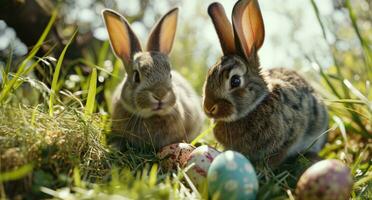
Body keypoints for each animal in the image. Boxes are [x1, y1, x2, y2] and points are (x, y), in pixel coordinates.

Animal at [203, 0, 328, 167]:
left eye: (235, 81)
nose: (208, 108)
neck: (255, 106)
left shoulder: (290, 137)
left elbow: (277, 156)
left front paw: (263, 169)